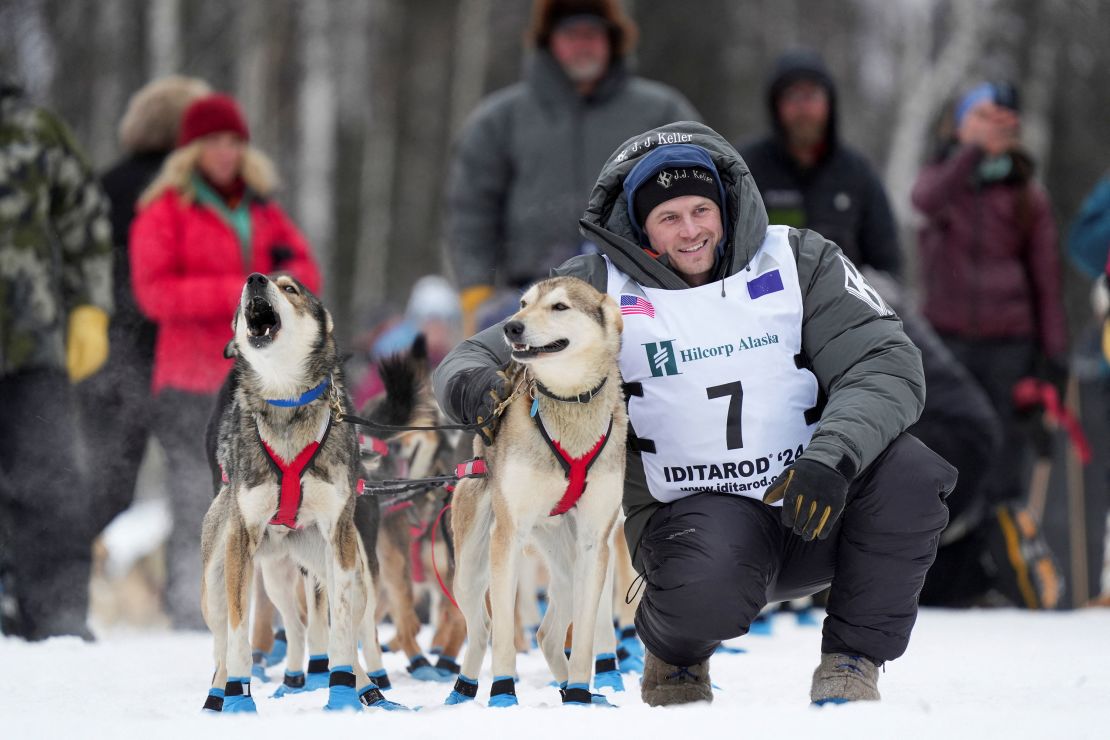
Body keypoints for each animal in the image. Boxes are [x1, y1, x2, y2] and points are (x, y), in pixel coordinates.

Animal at [448, 277, 626, 705]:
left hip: (567, 566)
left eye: (560, 306)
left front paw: (579, 693)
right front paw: (503, 695)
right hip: (471, 569)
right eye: (523, 303)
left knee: (547, 634)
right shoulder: (508, 536)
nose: (511, 326)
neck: (569, 402)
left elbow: (584, 638)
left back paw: (569, 689)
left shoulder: (595, 542)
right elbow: (504, 637)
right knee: (482, 629)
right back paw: (462, 691)